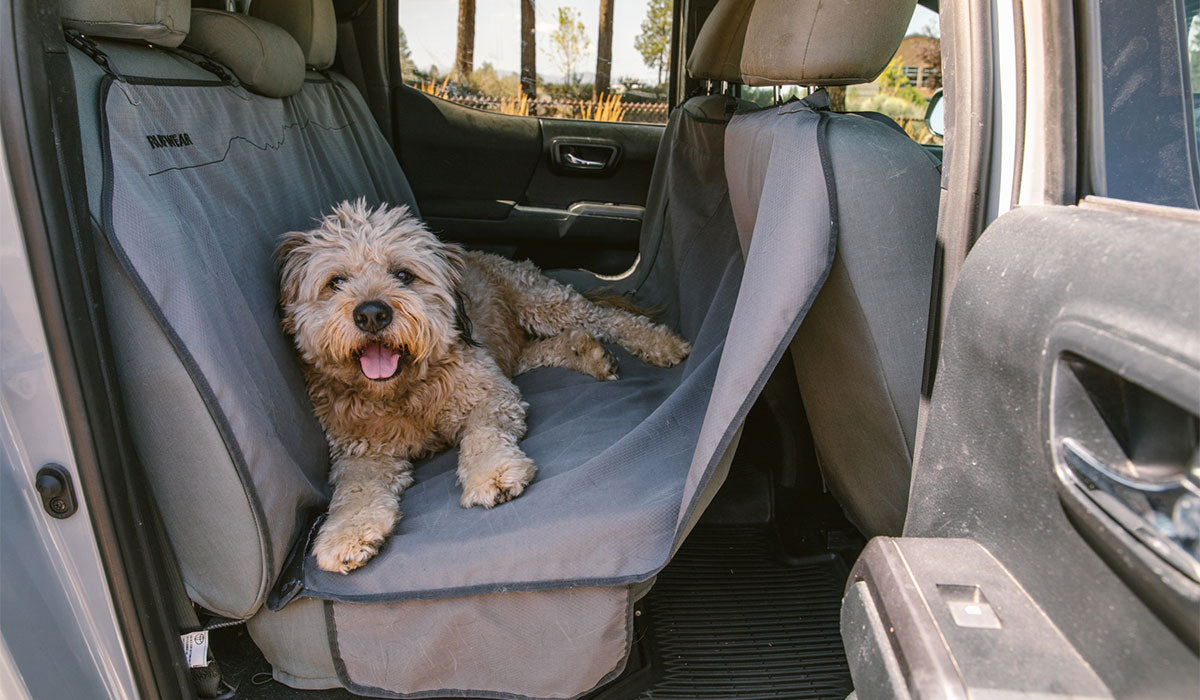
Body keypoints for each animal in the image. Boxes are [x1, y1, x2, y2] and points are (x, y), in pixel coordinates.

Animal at [279, 200, 691, 571]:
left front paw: (491, 475)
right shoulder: (361, 451)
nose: (371, 314)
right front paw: (345, 536)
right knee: (551, 346)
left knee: (607, 318)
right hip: (513, 346)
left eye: (404, 275)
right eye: (336, 282)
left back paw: (660, 343)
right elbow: (354, 490)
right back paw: (589, 355)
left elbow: (481, 435)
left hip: (542, 303)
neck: (402, 393)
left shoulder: (488, 392)